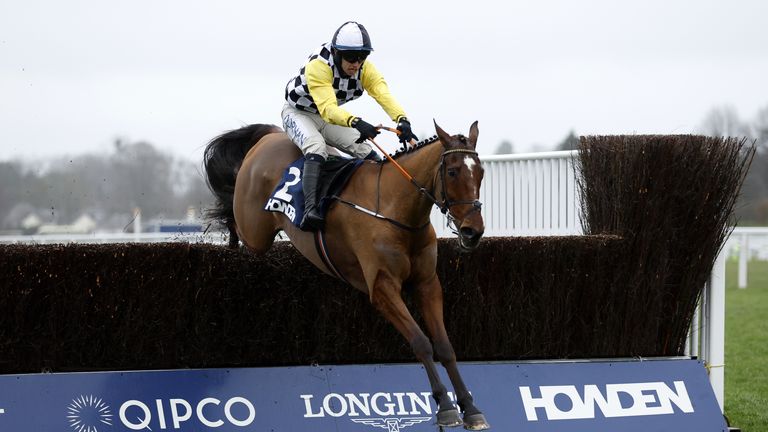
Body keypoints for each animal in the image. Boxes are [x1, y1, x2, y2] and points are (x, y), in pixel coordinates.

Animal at [204, 120, 488, 430]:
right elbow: (421, 342)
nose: (473, 231)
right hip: (255, 231)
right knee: (236, 221)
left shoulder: (427, 284)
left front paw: (470, 408)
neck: (395, 208)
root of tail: (269, 135)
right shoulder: (382, 288)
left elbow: (445, 346)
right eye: (452, 172)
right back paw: (229, 238)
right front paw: (445, 406)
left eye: (481, 172)